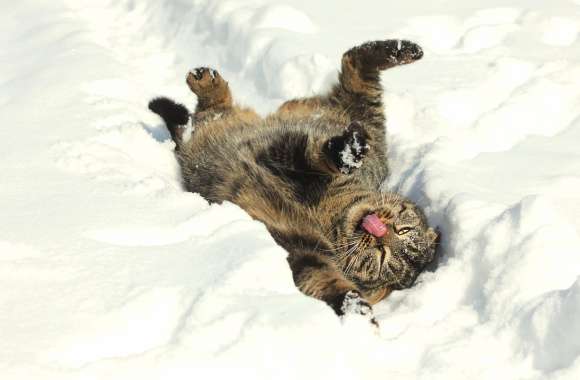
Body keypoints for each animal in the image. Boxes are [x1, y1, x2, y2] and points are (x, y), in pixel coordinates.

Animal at [150, 40, 440, 326]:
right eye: (402, 230)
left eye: (382, 258)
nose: (380, 233)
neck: (330, 213)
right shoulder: (292, 156)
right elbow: (315, 156)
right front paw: (346, 152)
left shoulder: (303, 250)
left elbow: (324, 280)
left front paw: (356, 311)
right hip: (358, 116)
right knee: (354, 66)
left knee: (205, 115)